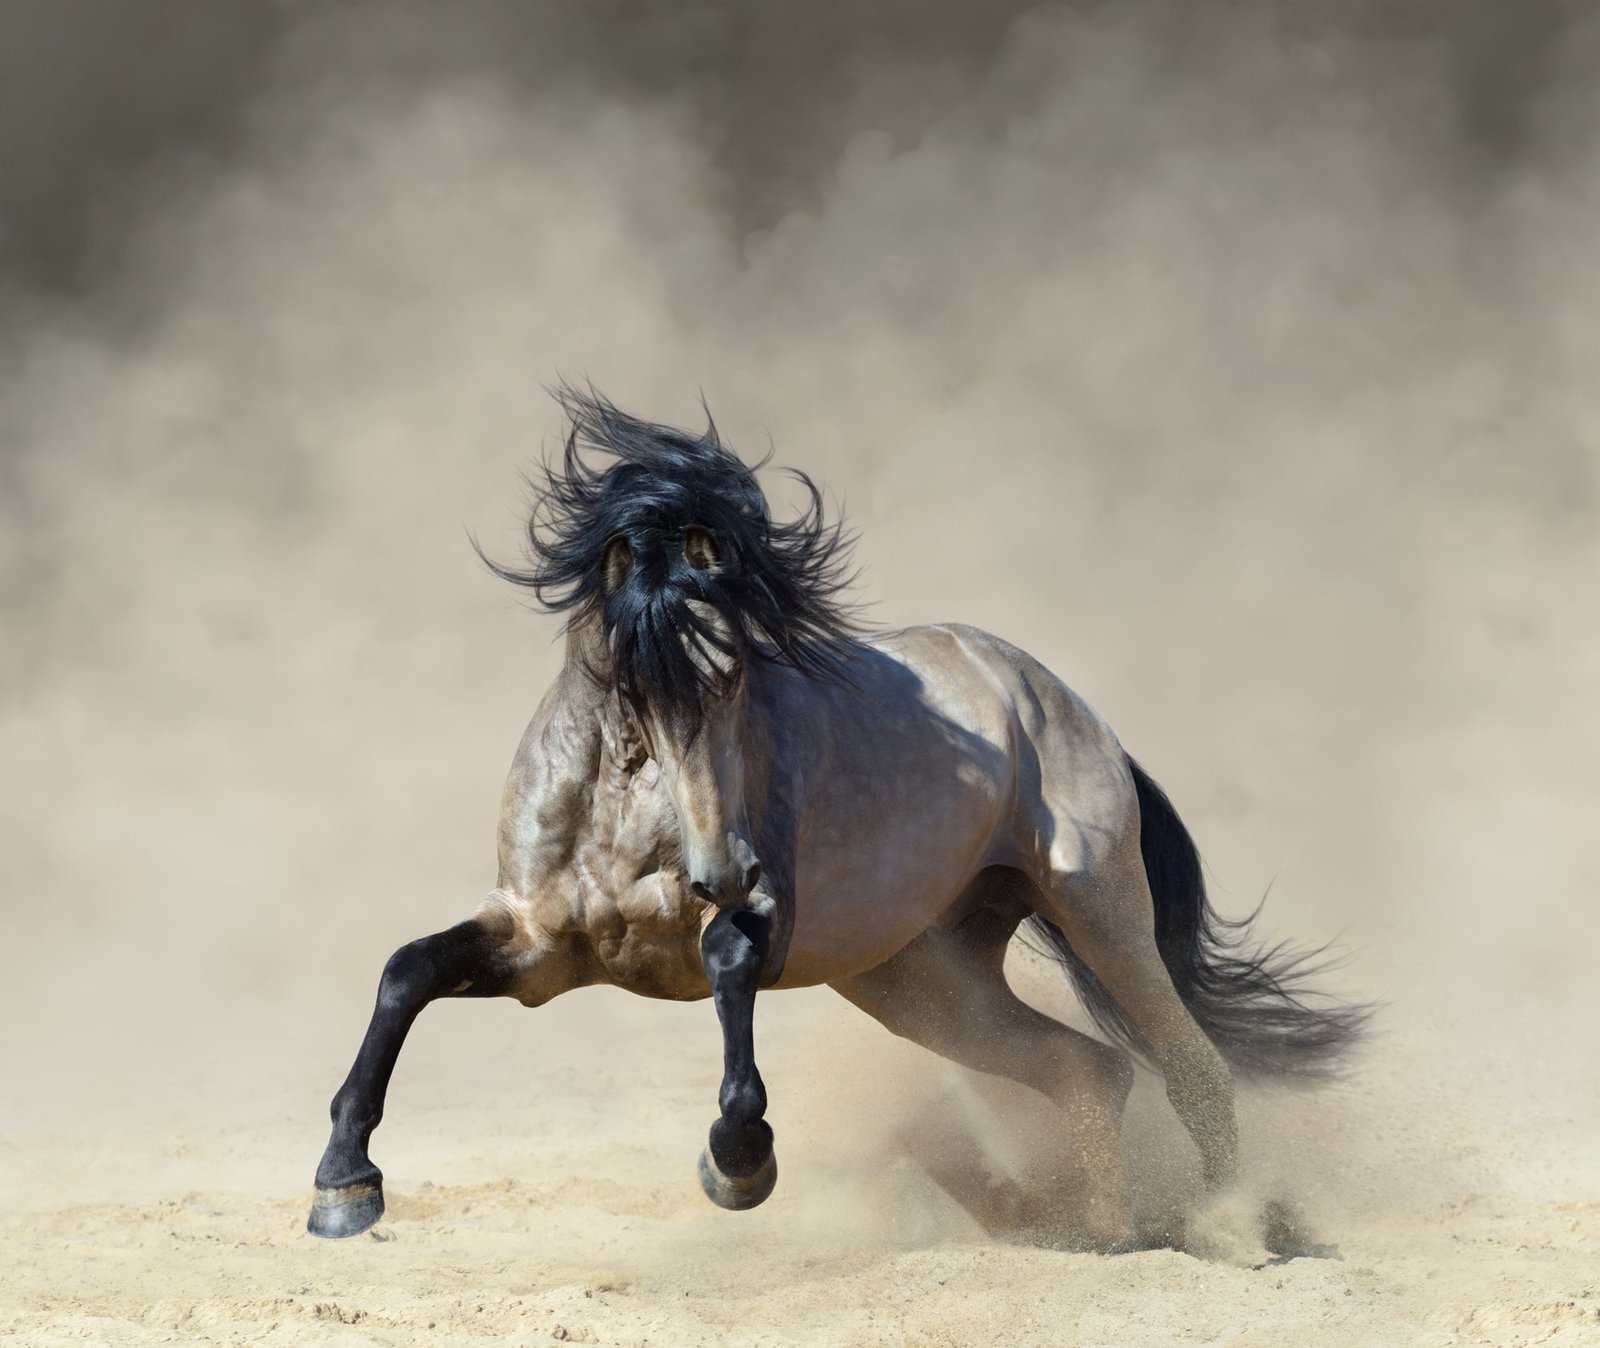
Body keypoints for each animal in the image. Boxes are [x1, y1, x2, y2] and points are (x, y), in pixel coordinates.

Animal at [307, 386, 1367, 1253]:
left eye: (737, 673)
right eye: (633, 686)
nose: (724, 871)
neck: (621, 818)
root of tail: (1061, 703)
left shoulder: (752, 927)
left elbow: (729, 966)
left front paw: (740, 1163)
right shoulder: (538, 950)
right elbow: (407, 972)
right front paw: (344, 1186)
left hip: (1098, 912)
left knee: (1192, 1068)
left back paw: (1232, 1228)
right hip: (919, 979)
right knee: (1089, 1071)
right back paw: (1095, 1230)